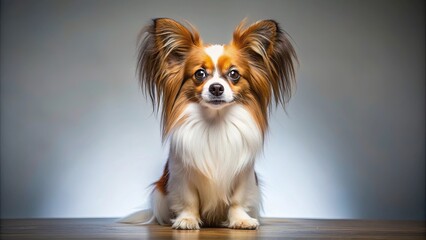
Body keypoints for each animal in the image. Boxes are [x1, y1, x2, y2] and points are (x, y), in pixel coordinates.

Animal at [120, 17, 296, 230]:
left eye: (234, 74)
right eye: (200, 74)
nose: (216, 88)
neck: (215, 121)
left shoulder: (242, 175)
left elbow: (237, 200)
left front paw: (241, 220)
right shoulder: (182, 174)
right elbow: (189, 200)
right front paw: (187, 219)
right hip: (159, 193)